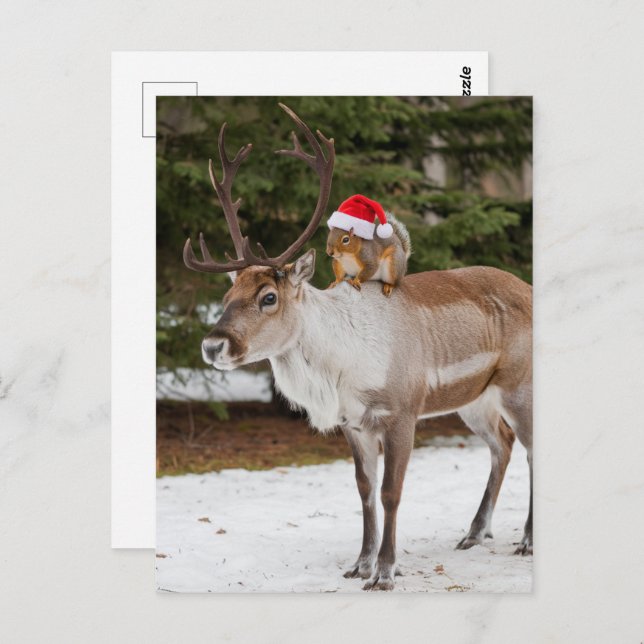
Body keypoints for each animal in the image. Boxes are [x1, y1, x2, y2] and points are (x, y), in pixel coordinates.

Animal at [183, 104, 533, 591]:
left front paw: (385, 572)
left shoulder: (401, 412)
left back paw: (526, 540)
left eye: (268, 297)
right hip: (474, 399)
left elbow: (391, 492)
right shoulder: (354, 423)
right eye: (227, 293)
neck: (341, 368)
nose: (213, 346)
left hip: (520, 384)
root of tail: (531, 288)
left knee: (530, 447)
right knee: (502, 443)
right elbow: (364, 490)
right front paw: (359, 565)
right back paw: (474, 534)